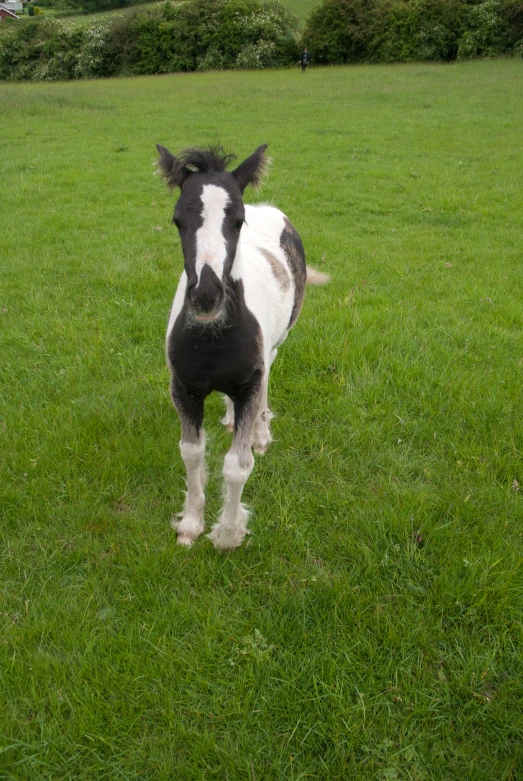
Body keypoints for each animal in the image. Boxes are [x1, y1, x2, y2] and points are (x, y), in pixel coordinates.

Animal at [156, 145, 328, 548]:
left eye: (237, 220)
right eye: (177, 221)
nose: (206, 296)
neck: (213, 339)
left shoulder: (250, 381)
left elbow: (238, 465)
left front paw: (228, 534)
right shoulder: (183, 388)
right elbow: (191, 453)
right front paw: (190, 524)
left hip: (276, 345)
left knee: (269, 375)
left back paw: (259, 434)